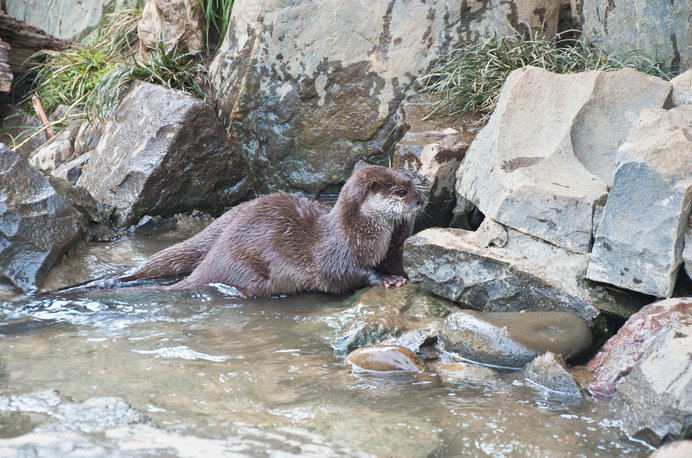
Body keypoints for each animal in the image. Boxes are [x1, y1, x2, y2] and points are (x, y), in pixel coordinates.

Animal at [105, 165, 424, 296]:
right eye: (401, 191)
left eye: (412, 182)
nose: (422, 200)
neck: (357, 233)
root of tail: (211, 264)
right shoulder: (337, 257)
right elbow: (349, 276)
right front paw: (387, 278)